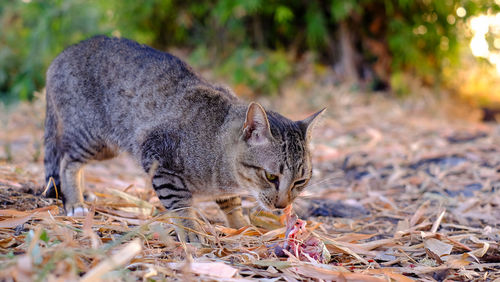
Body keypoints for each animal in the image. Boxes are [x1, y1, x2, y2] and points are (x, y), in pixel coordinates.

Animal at [44, 35, 324, 242]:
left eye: (300, 181)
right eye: (270, 176)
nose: (282, 205)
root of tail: (60, 55)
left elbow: (230, 202)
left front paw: (240, 224)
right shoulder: (158, 157)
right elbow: (179, 203)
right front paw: (191, 231)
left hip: (105, 147)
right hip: (92, 136)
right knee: (67, 162)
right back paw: (76, 202)